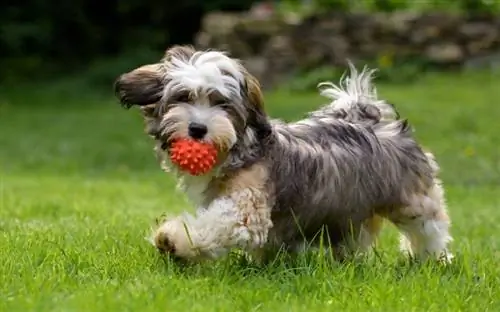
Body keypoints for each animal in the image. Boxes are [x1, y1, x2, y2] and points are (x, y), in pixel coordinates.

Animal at [113, 44, 454, 264]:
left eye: (222, 103)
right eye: (183, 97)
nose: (198, 129)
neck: (238, 151)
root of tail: (372, 121)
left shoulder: (245, 208)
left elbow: (218, 225)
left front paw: (173, 239)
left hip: (412, 198)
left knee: (429, 227)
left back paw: (433, 260)